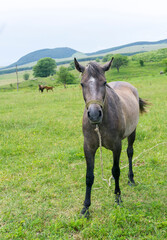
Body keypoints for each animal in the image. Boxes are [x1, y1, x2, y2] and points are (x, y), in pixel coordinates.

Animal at [74, 57, 147, 218]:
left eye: (104, 82)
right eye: (82, 83)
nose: (94, 114)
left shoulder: (116, 145)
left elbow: (116, 170)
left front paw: (118, 198)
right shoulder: (88, 147)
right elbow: (89, 176)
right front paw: (85, 207)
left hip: (132, 133)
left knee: (130, 153)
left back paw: (131, 179)